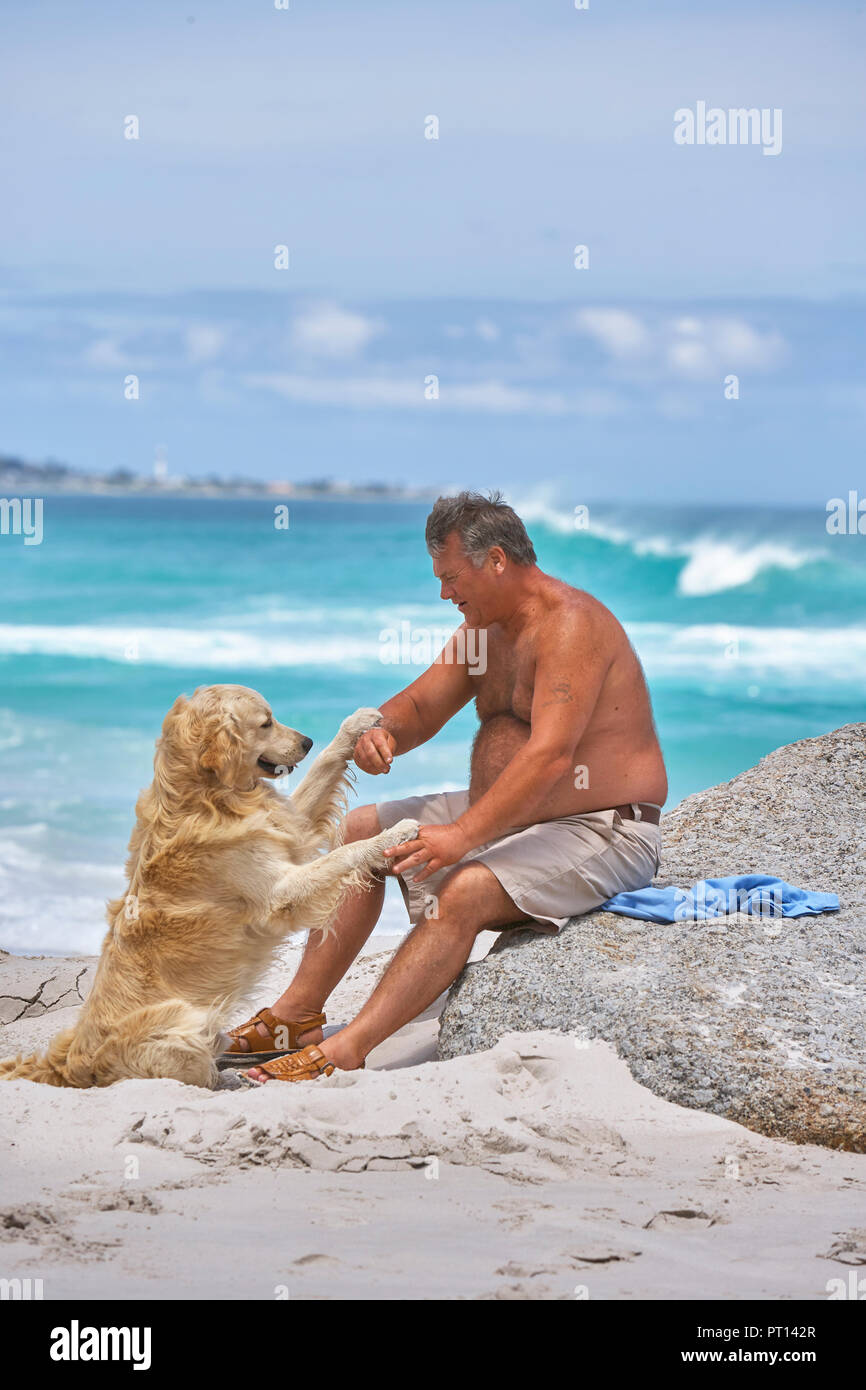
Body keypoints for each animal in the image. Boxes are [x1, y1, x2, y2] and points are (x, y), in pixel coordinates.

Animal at [0, 683, 419, 1084]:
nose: (307, 741)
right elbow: (344, 853)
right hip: (185, 1023)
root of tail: (69, 1063)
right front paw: (393, 833)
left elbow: (325, 765)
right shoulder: (280, 894)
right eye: (266, 722)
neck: (206, 795)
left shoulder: (291, 829)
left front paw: (355, 724)